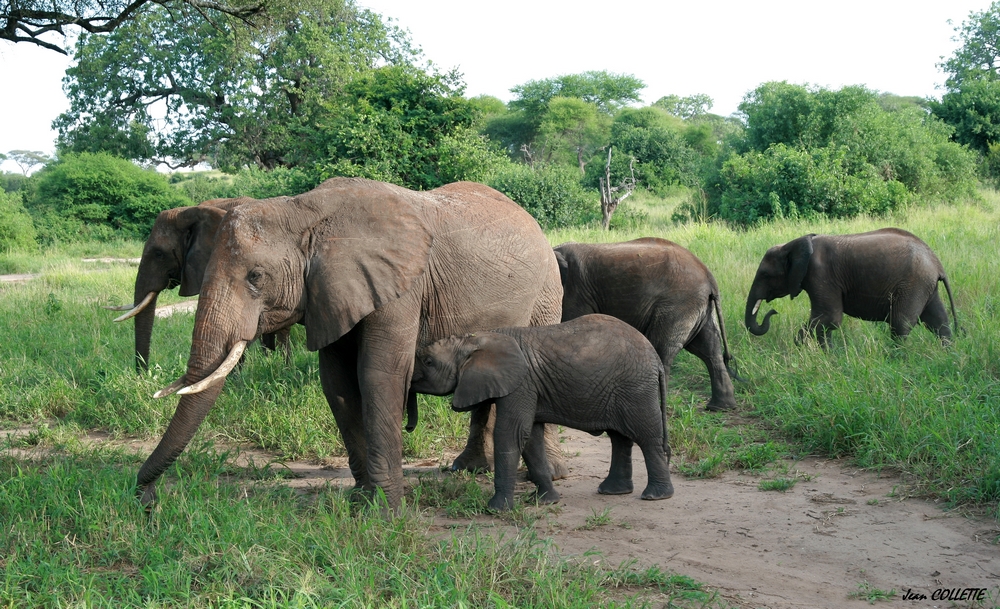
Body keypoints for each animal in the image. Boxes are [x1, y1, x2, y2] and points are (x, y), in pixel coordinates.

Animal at [137, 177, 568, 508]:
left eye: (255, 277)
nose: (145, 497)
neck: (302, 212)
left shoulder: (400, 288)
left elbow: (378, 375)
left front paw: (385, 511)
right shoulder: (329, 292)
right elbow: (338, 383)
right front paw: (362, 500)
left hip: (547, 291)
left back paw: (550, 477)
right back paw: (468, 468)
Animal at [410, 314, 676, 508]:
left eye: (428, 362)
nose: (409, 426)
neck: (477, 339)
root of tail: (656, 359)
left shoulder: (521, 384)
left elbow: (511, 434)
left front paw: (496, 509)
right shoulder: (530, 388)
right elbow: (531, 439)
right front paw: (545, 501)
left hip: (635, 389)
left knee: (646, 436)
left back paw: (656, 496)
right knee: (619, 438)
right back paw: (612, 491)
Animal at [556, 238, 744, 414]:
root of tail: (709, 277)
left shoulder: (576, 292)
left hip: (678, 305)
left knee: (662, 349)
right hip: (698, 307)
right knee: (708, 350)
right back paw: (721, 408)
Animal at [748, 227, 956, 344]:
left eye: (765, 274)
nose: (773, 311)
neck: (793, 244)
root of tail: (937, 264)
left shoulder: (820, 275)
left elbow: (829, 318)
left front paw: (800, 346)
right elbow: (826, 322)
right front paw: (827, 356)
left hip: (913, 284)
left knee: (900, 325)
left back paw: (895, 360)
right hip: (925, 285)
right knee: (938, 321)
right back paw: (947, 354)